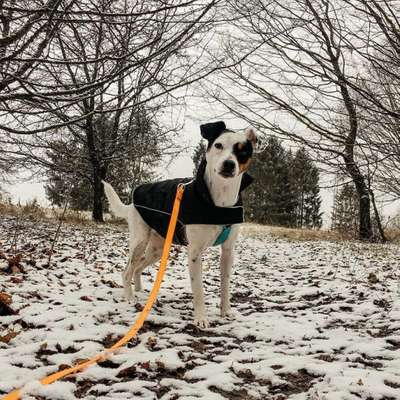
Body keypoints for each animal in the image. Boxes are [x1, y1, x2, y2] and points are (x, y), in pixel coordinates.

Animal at [103, 121, 256, 328]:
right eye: (218, 145)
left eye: (243, 151)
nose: (229, 164)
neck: (219, 203)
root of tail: (132, 204)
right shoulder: (195, 253)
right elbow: (198, 289)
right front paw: (201, 318)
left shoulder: (228, 251)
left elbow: (225, 285)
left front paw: (226, 312)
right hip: (139, 241)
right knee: (126, 271)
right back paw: (130, 298)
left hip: (157, 249)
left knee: (138, 268)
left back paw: (140, 291)